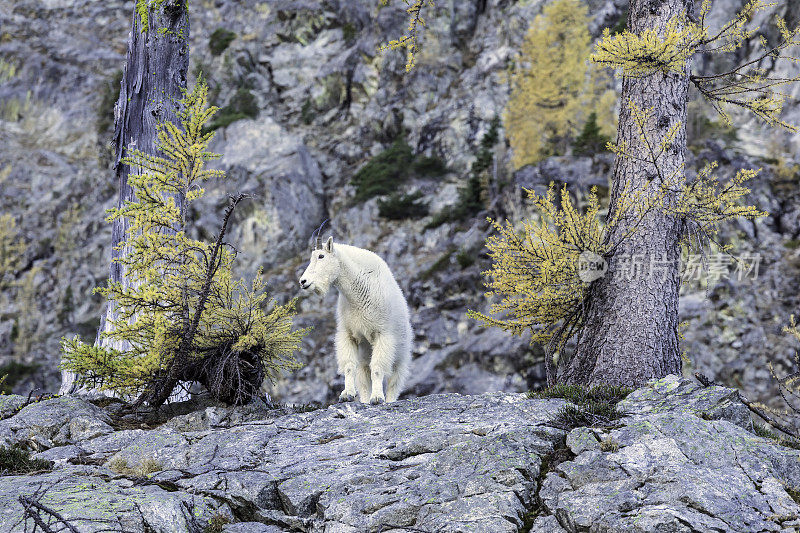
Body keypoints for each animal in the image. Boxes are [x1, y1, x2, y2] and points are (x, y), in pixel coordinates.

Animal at [300, 237, 412, 404]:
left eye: (321, 256)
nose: (303, 281)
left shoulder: (383, 335)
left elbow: (377, 368)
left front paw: (377, 398)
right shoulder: (349, 334)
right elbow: (349, 366)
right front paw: (347, 394)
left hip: (401, 353)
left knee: (395, 379)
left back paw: (389, 400)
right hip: (364, 353)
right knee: (364, 376)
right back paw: (364, 400)